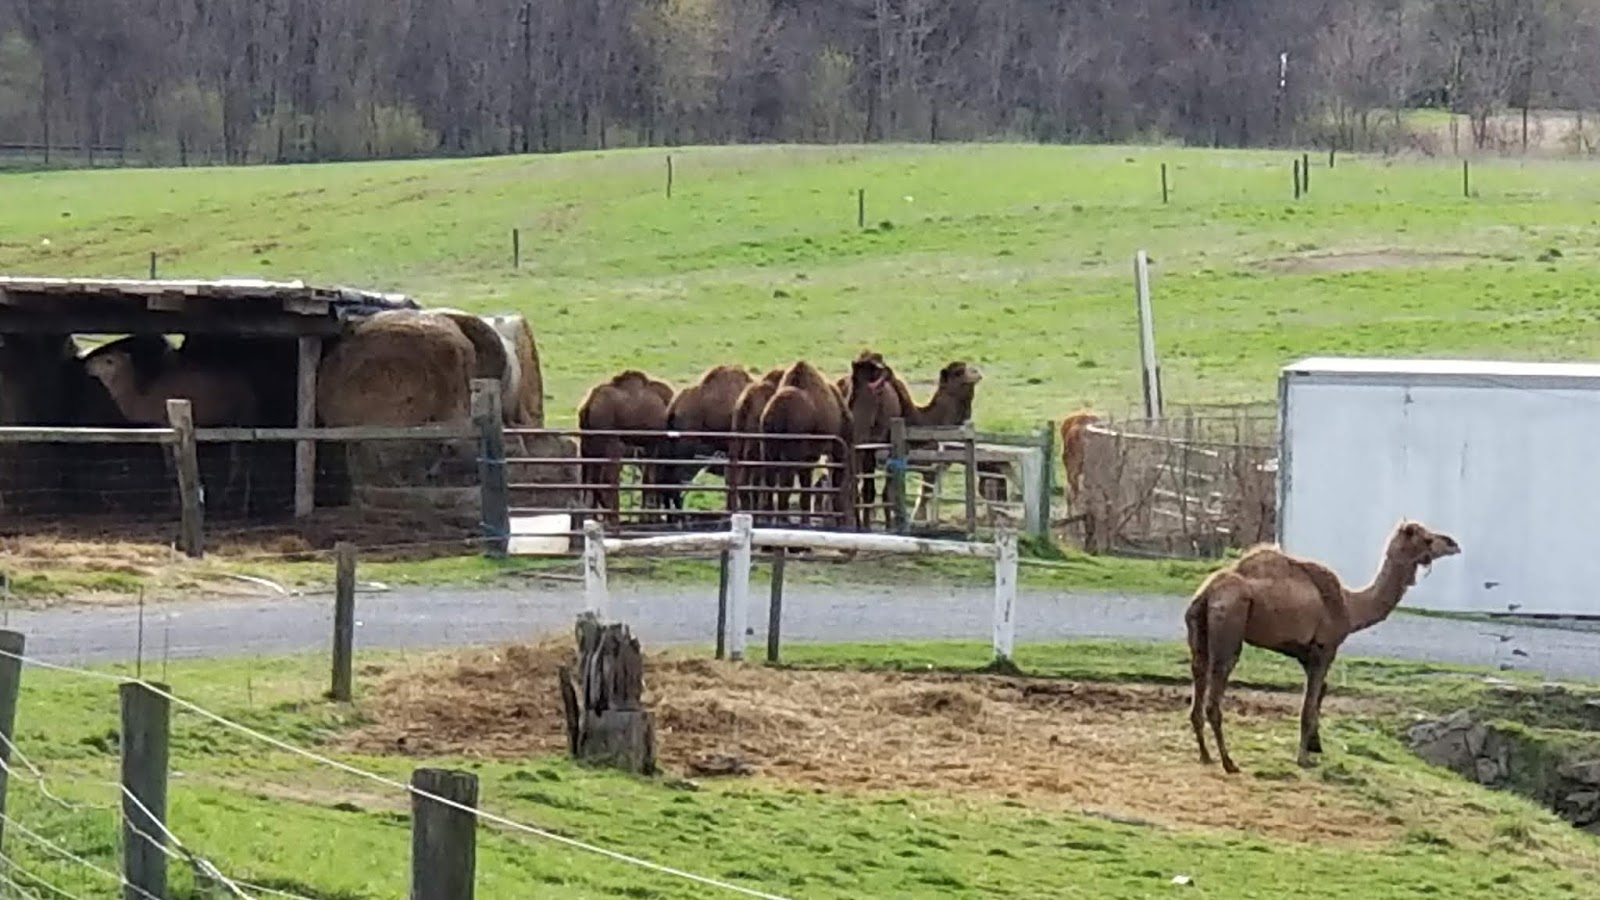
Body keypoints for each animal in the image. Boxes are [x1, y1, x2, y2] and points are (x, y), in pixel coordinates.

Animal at [577, 370, 674, 525]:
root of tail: (588, 405)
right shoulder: (655, 444)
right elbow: (650, 478)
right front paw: (649, 518)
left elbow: (648, 478)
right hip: (610, 441)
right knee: (608, 478)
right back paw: (613, 518)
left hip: (589, 446)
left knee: (592, 479)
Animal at [1185, 520, 1461, 774]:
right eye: (1426, 539)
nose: (1453, 544)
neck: (1351, 606)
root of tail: (1207, 594)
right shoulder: (1324, 649)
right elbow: (1309, 706)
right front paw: (1304, 759)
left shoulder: (1306, 654)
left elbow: (1320, 695)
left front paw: (1315, 746)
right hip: (1230, 625)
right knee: (1215, 690)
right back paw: (1228, 762)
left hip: (1198, 629)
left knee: (1198, 672)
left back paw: (1205, 756)